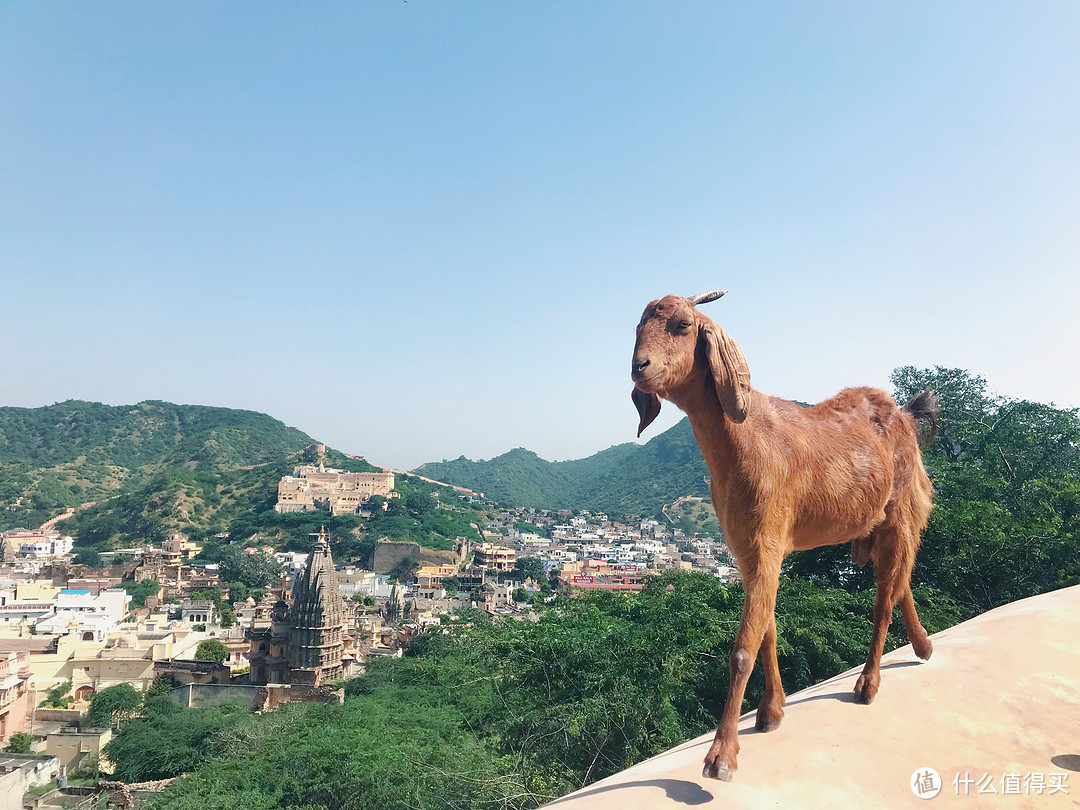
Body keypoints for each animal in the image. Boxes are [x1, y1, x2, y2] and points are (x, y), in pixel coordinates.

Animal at [630, 289, 937, 781]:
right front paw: (771, 712)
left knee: (884, 598)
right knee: (899, 582)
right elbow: (767, 631)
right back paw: (923, 646)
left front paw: (722, 756)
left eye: (682, 325)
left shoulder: (767, 537)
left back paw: (868, 683)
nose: (639, 366)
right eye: (637, 328)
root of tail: (903, 413)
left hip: (902, 508)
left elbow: (742, 649)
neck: (742, 437)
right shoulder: (746, 549)